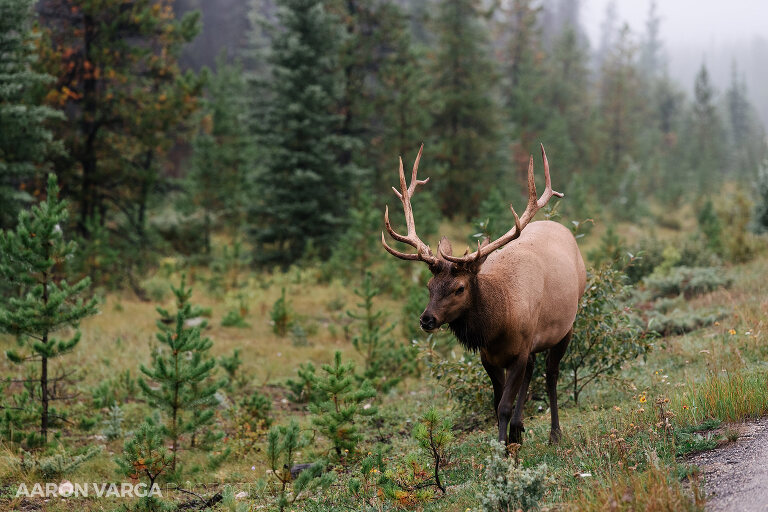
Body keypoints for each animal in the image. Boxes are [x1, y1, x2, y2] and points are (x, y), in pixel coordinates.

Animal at [380, 143, 584, 444]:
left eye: (459, 287)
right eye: (429, 286)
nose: (426, 319)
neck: (499, 324)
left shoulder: (520, 350)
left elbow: (504, 406)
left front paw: (502, 449)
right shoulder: (489, 357)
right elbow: (497, 403)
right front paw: (507, 441)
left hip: (565, 326)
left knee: (551, 374)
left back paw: (554, 434)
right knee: (534, 369)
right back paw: (519, 429)